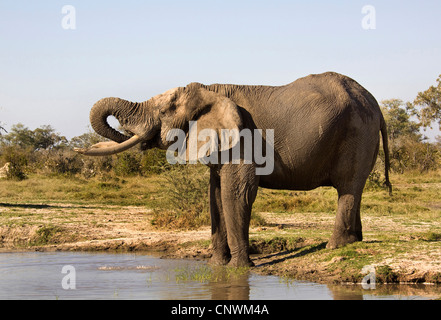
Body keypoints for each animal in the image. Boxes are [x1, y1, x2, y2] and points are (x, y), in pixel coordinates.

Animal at [76, 72, 392, 268]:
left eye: (165, 111)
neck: (210, 90)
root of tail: (377, 105)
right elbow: (215, 194)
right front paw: (216, 266)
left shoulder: (244, 138)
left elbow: (236, 192)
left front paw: (240, 268)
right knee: (354, 191)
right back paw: (354, 241)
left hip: (357, 133)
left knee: (348, 188)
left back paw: (335, 247)